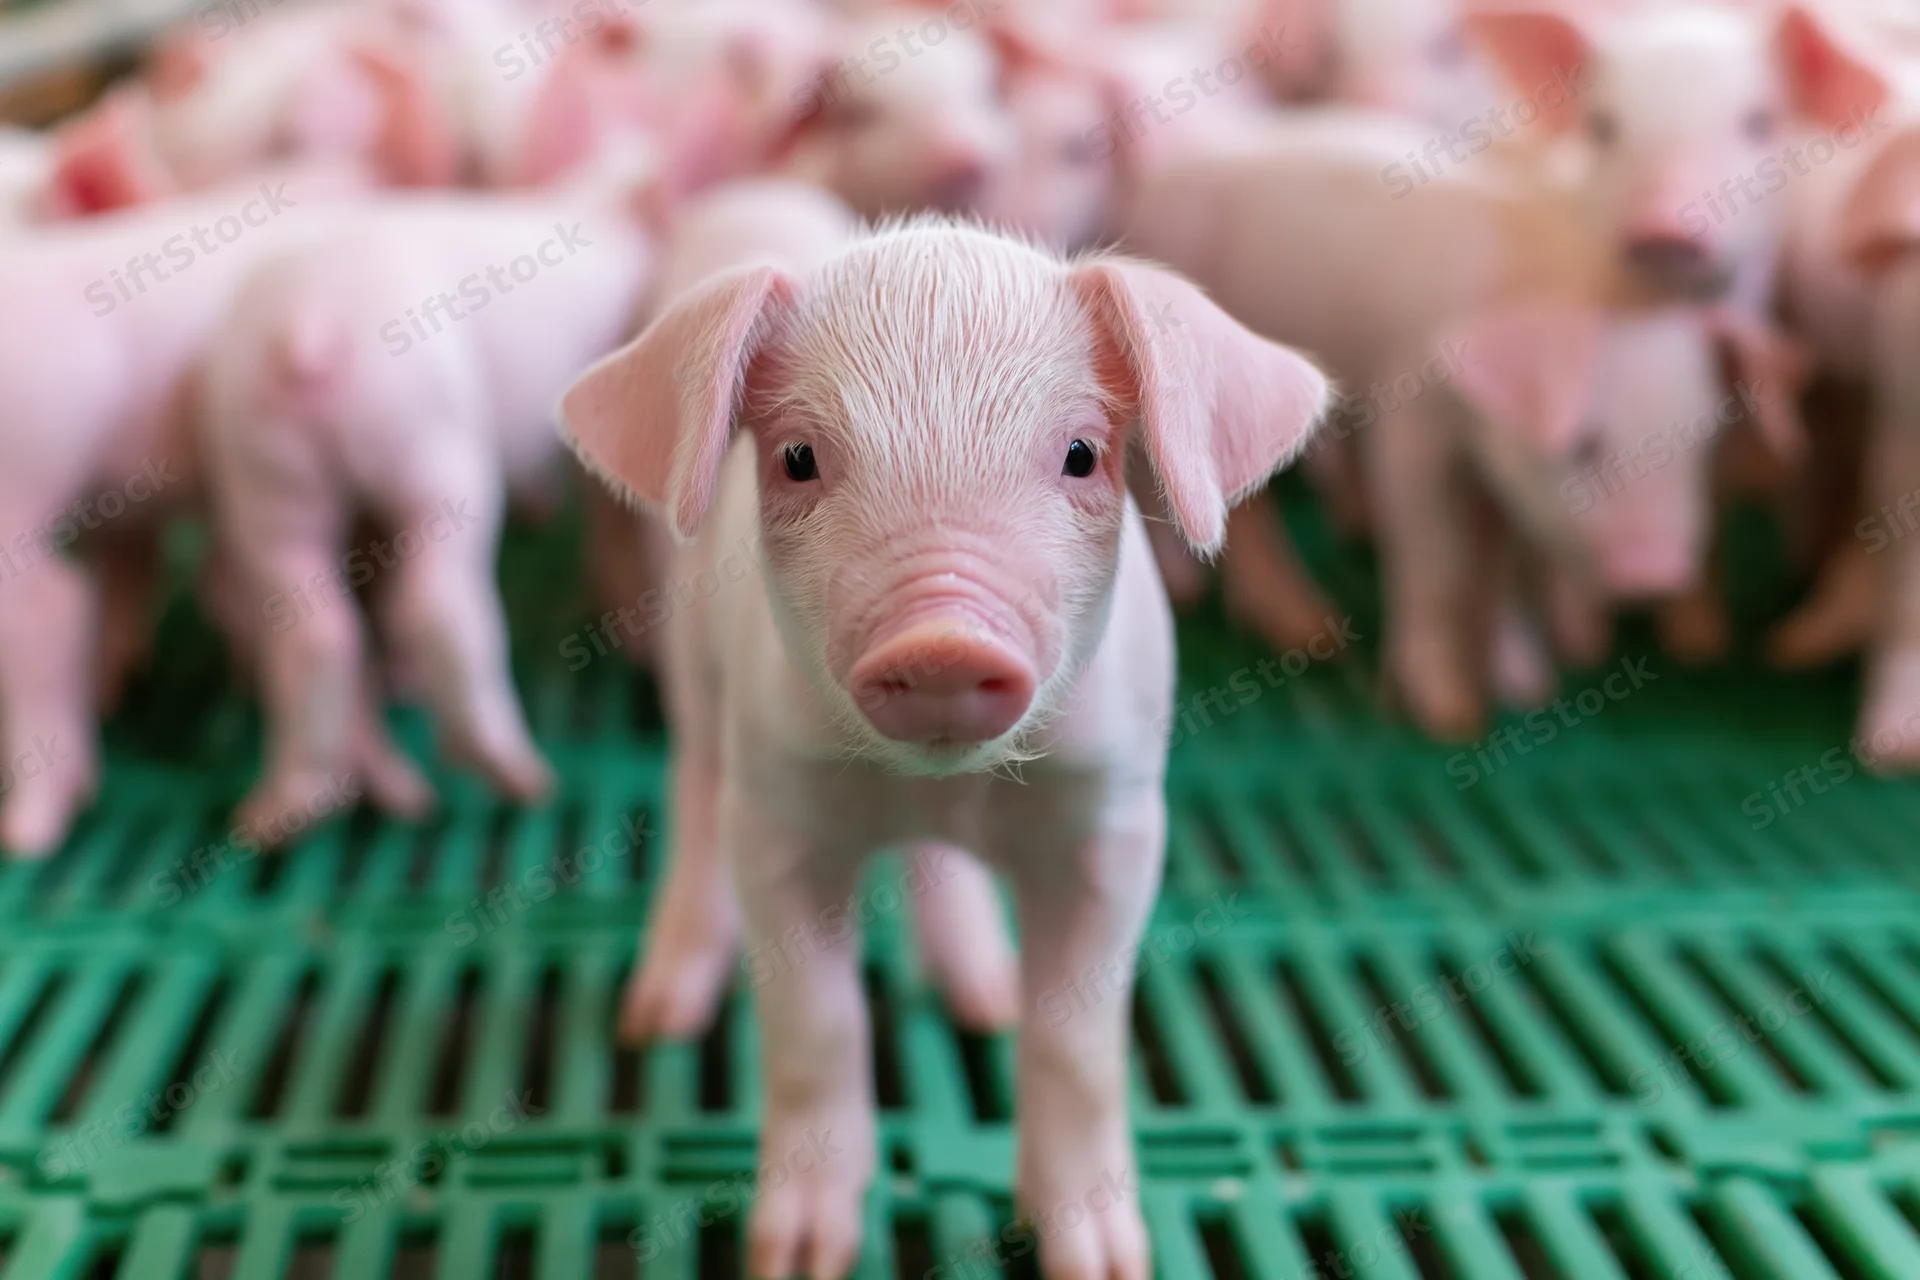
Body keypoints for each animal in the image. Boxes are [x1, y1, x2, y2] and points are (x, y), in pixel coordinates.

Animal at [197, 155, 663, 838]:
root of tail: (311, 327)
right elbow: (610, 522)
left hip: (264, 477)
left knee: (313, 629)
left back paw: (270, 817)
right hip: (435, 451)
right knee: (439, 606)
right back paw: (523, 780)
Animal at [561, 219, 1330, 1279]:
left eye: (1082, 455)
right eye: (797, 457)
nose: (941, 640)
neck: (935, 785)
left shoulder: (1118, 822)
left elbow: (1077, 1041)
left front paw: (1105, 1262)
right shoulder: (777, 817)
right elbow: (816, 1024)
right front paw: (796, 1257)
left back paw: (986, 995)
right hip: (692, 668)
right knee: (693, 785)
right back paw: (658, 1012)